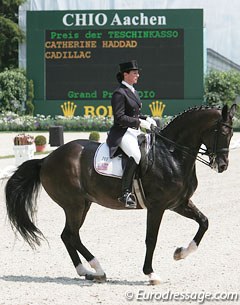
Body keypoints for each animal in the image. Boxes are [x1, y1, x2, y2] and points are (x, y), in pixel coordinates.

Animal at [5, 104, 236, 282]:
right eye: (223, 133)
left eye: (232, 134)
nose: (223, 165)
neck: (172, 155)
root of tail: (46, 160)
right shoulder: (157, 207)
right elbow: (151, 238)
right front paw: (151, 274)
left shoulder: (179, 203)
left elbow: (204, 222)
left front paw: (180, 253)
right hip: (74, 205)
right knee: (71, 235)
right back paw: (97, 268)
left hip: (83, 204)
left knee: (68, 235)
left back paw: (86, 271)